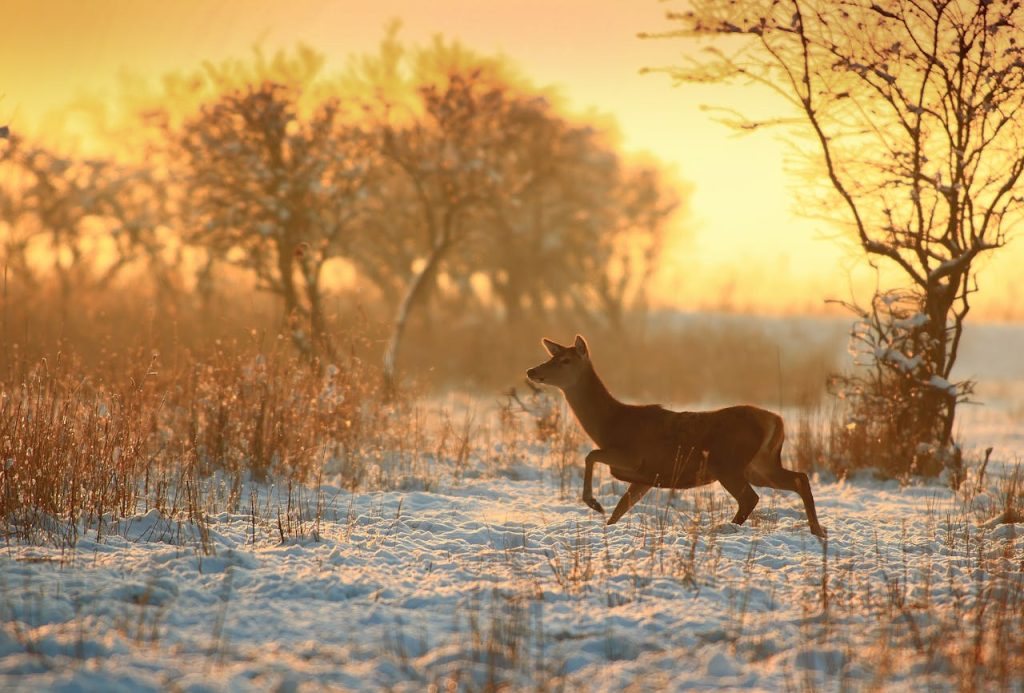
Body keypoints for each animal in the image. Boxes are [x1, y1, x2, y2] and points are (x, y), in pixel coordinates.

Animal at [526, 335, 825, 538]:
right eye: (551, 356)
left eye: (565, 360)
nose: (532, 370)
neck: (610, 424)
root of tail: (775, 420)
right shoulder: (644, 476)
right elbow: (621, 508)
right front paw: (606, 524)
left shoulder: (633, 455)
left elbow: (591, 456)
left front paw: (594, 503)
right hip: (759, 464)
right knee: (799, 478)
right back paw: (818, 531)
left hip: (727, 462)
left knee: (751, 498)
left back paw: (727, 529)